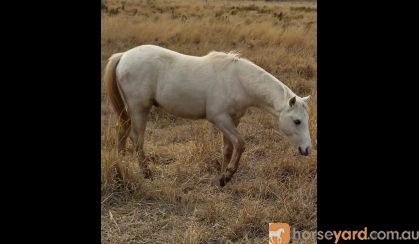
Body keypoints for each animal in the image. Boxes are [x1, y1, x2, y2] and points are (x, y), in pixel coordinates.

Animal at [103, 44, 310, 186]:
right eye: (297, 121)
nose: (307, 149)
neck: (238, 80)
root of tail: (123, 56)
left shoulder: (233, 120)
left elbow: (228, 148)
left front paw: (222, 176)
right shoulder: (220, 118)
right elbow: (240, 144)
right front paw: (228, 175)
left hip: (130, 110)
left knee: (122, 131)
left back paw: (121, 164)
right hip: (139, 108)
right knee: (137, 139)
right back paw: (146, 173)